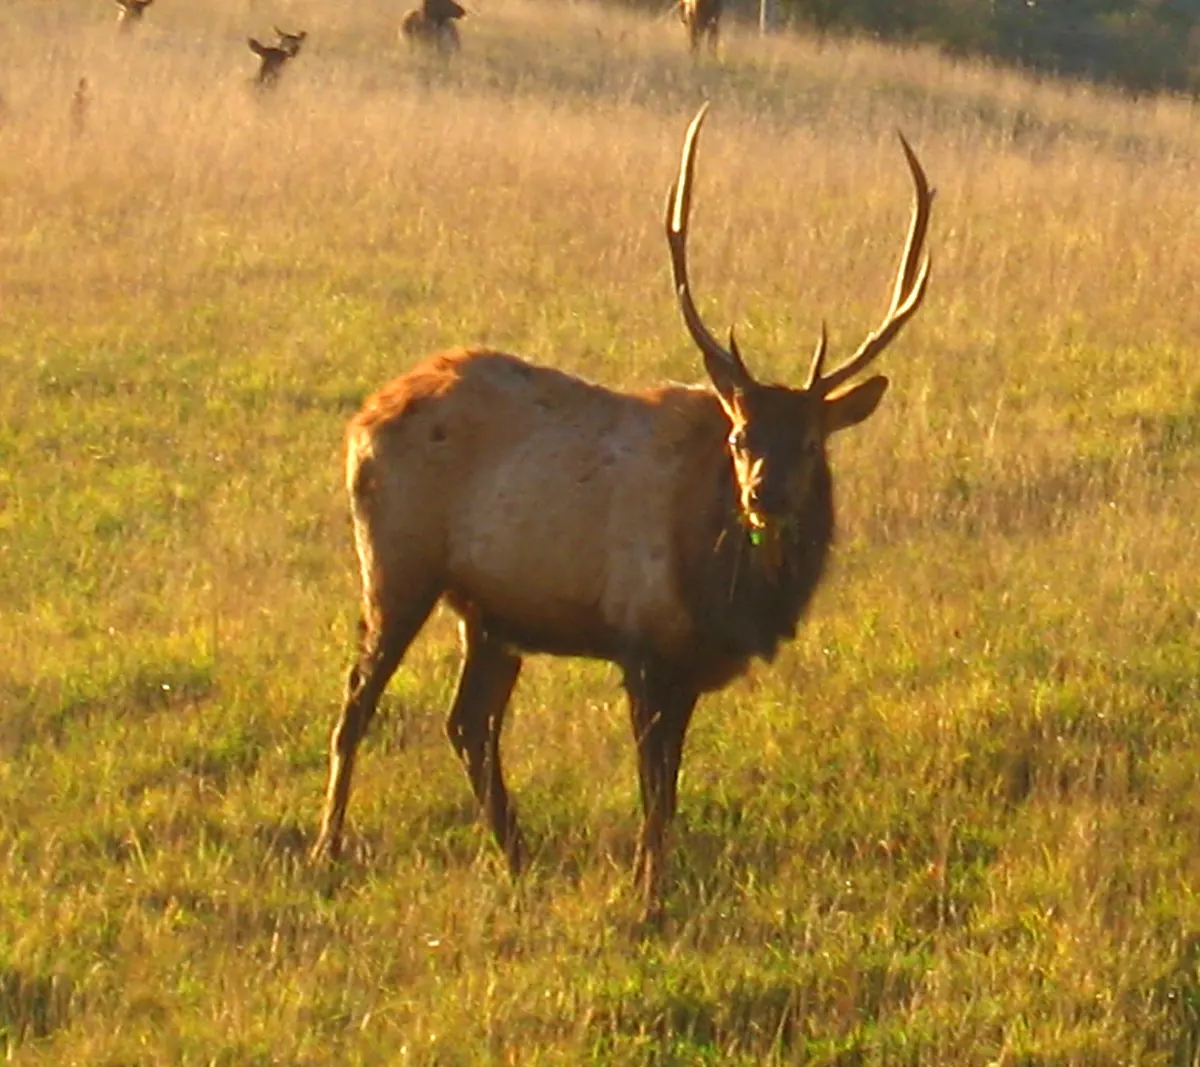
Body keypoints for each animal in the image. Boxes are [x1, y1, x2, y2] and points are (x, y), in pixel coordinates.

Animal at [309, 105, 933, 918]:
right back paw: (327, 850)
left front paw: (651, 888)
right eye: (739, 435)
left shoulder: (690, 665)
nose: (763, 494)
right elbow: (655, 792)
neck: (726, 594)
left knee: (468, 722)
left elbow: (669, 786)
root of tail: (361, 419)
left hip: (491, 609)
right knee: (358, 700)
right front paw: (648, 899)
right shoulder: (643, 646)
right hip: (396, 564)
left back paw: (517, 854)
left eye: (810, 443)